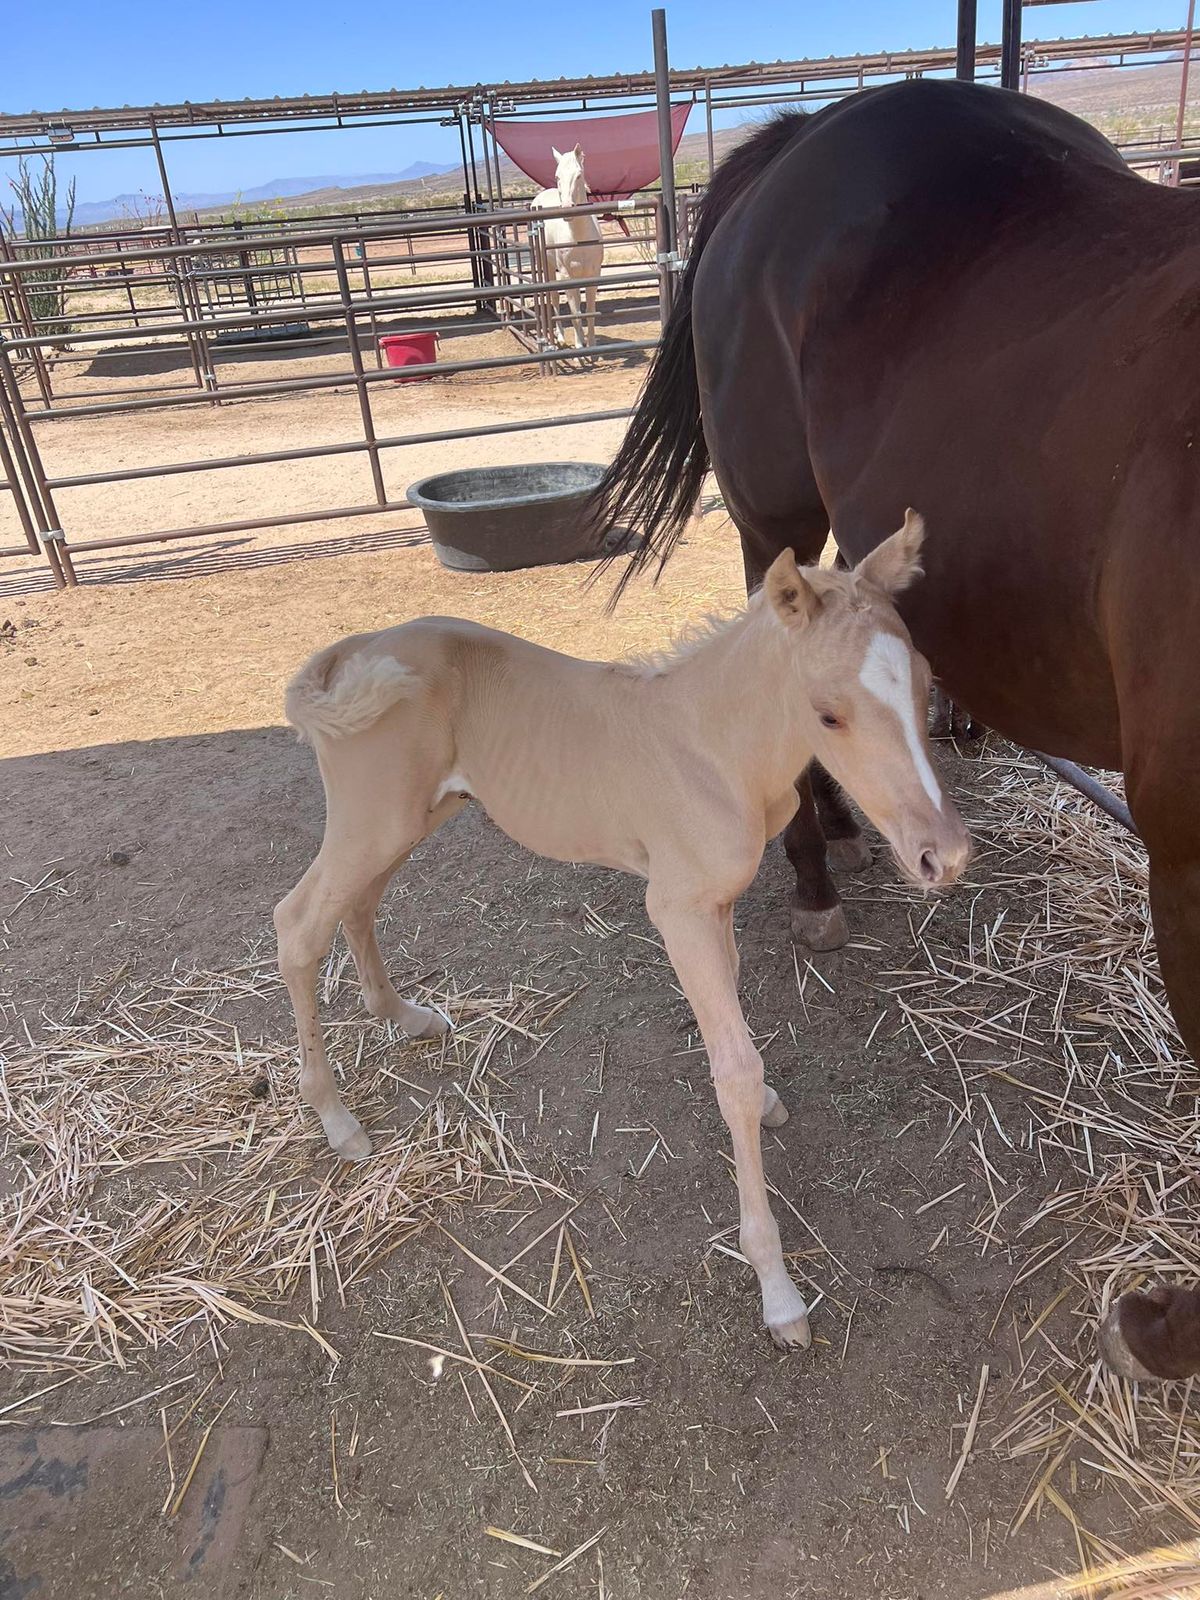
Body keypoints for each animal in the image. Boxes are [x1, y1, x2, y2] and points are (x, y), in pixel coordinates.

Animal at [276, 508, 972, 1337]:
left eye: (927, 683)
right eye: (829, 713)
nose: (945, 855)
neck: (714, 750)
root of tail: (345, 653)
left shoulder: (715, 901)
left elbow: (735, 1028)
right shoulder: (675, 909)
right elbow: (735, 1072)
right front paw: (776, 1289)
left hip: (414, 816)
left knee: (359, 903)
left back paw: (405, 1017)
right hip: (373, 818)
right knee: (298, 923)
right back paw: (337, 1119)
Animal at [534, 144, 604, 353]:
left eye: (578, 175)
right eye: (557, 176)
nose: (567, 207)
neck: (579, 237)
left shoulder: (593, 274)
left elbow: (589, 310)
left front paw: (592, 345)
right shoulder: (567, 276)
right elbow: (575, 313)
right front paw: (580, 348)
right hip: (548, 267)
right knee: (554, 298)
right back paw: (560, 337)